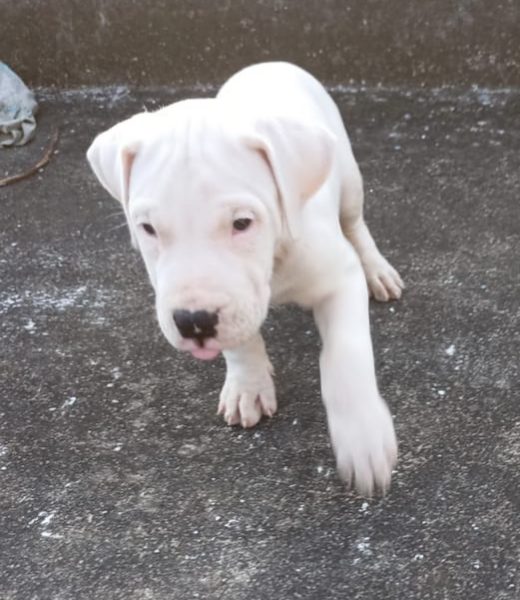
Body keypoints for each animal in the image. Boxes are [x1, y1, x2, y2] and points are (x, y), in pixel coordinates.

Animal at [87, 62, 402, 496]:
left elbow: (345, 356)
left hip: (350, 181)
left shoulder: (339, 277)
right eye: (147, 228)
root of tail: (271, 63)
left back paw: (378, 270)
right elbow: (240, 342)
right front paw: (248, 386)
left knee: (356, 223)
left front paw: (363, 437)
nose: (193, 322)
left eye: (242, 223)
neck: (274, 260)